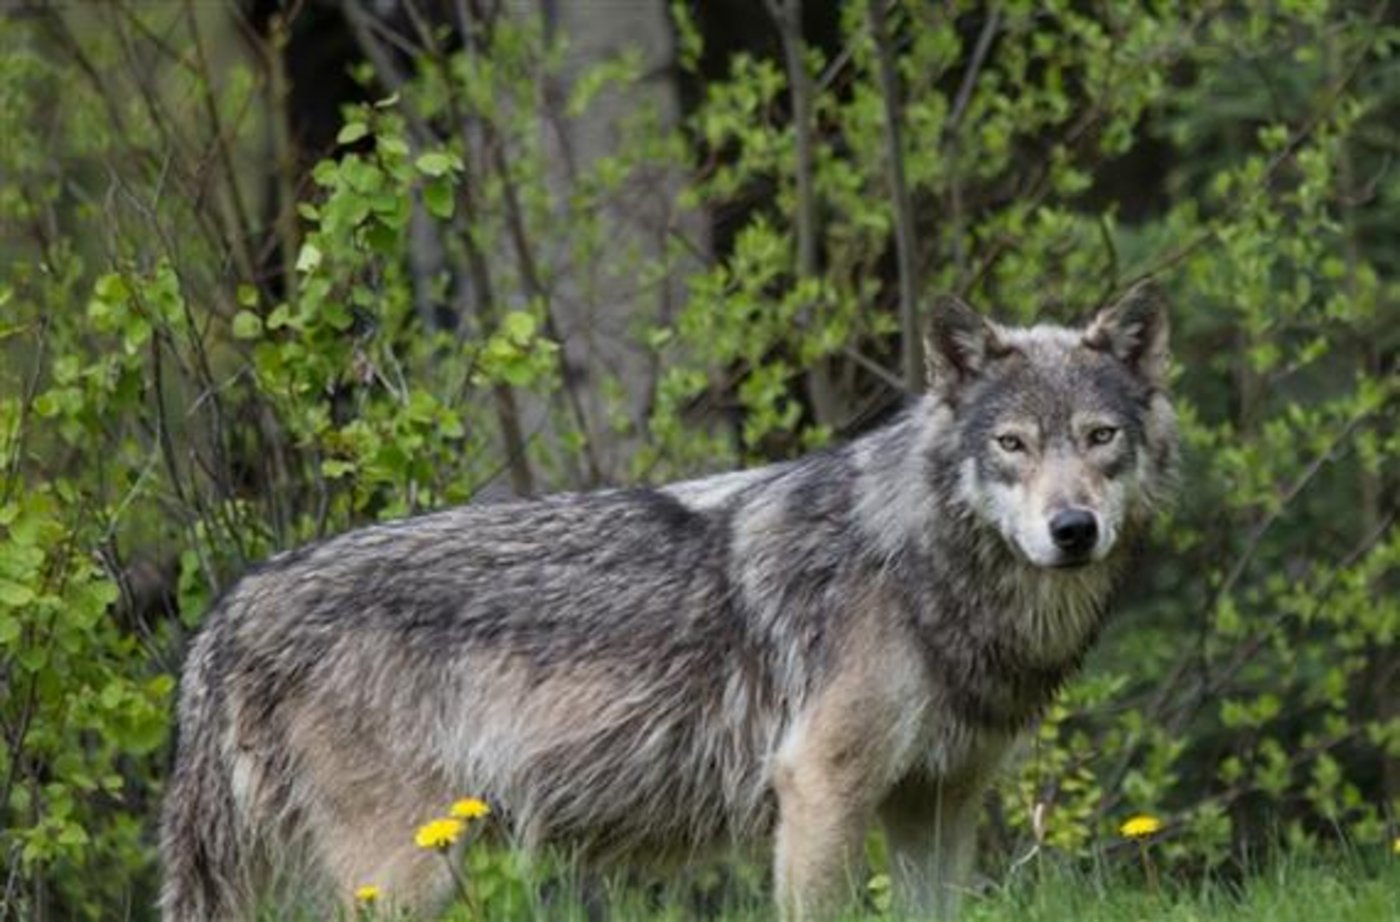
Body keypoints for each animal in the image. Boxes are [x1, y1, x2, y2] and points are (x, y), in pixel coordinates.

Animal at [160, 283, 1177, 921]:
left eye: (1099, 437)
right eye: (1012, 444)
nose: (1074, 528)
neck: (924, 567)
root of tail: (230, 608)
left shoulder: (938, 801)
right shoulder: (821, 788)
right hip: (402, 872)